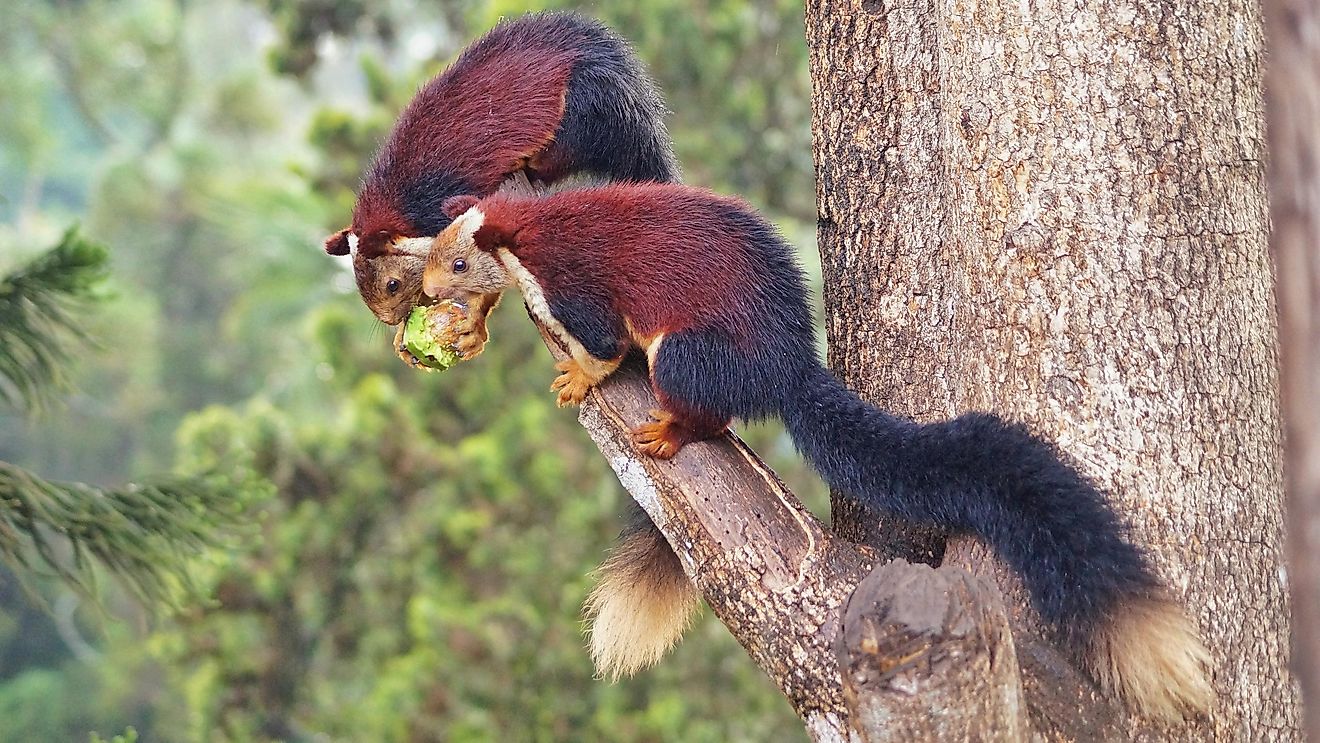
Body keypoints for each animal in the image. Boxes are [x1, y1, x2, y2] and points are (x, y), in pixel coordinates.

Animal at [322, 9, 681, 366]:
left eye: (392, 285)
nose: (391, 320)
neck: (404, 205)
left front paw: (472, 325)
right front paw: (404, 336)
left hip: (586, 109)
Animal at [422, 183, 1214, 723]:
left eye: (456, 262)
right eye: (430, 252)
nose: (425, 290)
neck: (529, 234)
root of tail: (789, 368)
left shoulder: (577, 288)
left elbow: (603, 346)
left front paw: (576, 377)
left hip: (685, 351)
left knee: (707, 410)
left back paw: (669, 431)